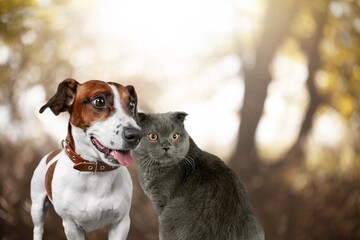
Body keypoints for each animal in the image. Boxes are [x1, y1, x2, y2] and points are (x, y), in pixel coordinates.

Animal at [30, 79, 142, 240]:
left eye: (132, 104)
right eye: (99, 101)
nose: (136, 135)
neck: (95, 170)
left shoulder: (121, 223)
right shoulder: (72, 227)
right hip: (37, 207)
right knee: (38, 228)